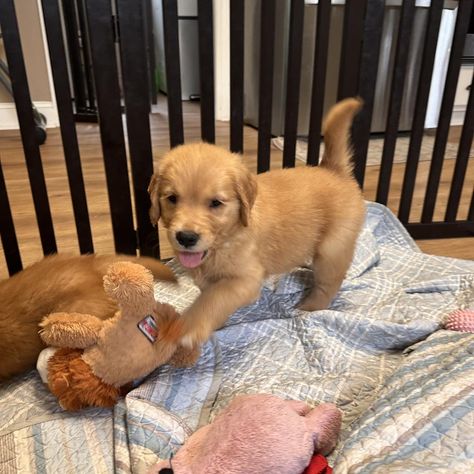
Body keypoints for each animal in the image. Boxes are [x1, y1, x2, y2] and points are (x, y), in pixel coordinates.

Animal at [149, 97, 366, 348]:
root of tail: (333, 170)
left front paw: (185, 327)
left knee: (328, 284)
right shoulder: (207, 279)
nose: (186, 237)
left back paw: (310, 307)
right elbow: (209, 297)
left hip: (332, 250)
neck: (224, 243)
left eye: (216, 203)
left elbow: (212, 300)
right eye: (172, 198)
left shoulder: (245, 279)